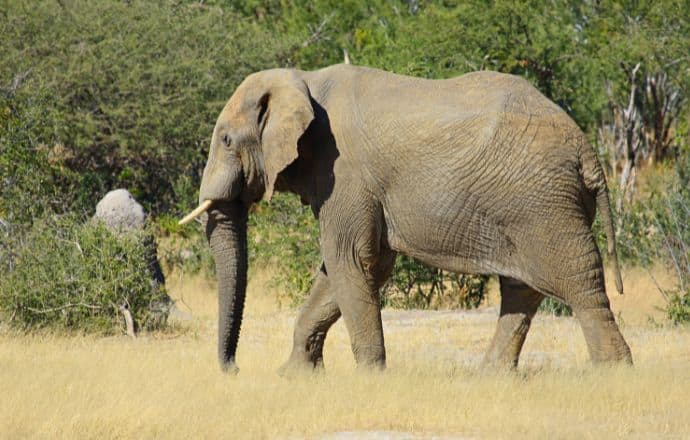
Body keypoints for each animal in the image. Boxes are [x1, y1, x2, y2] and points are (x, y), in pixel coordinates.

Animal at [179, 64, 636, 374]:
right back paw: (490, 378)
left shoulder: (345, 174)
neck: (303, 80)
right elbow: (352, 270)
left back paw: (614, 375)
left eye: (226, 139)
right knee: (522, 288)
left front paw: (369, 378)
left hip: (544, 204)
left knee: (579, 283)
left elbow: (350, 261)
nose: (234, 369)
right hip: (530, 206)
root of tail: (588, 151)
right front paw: (294, 376)